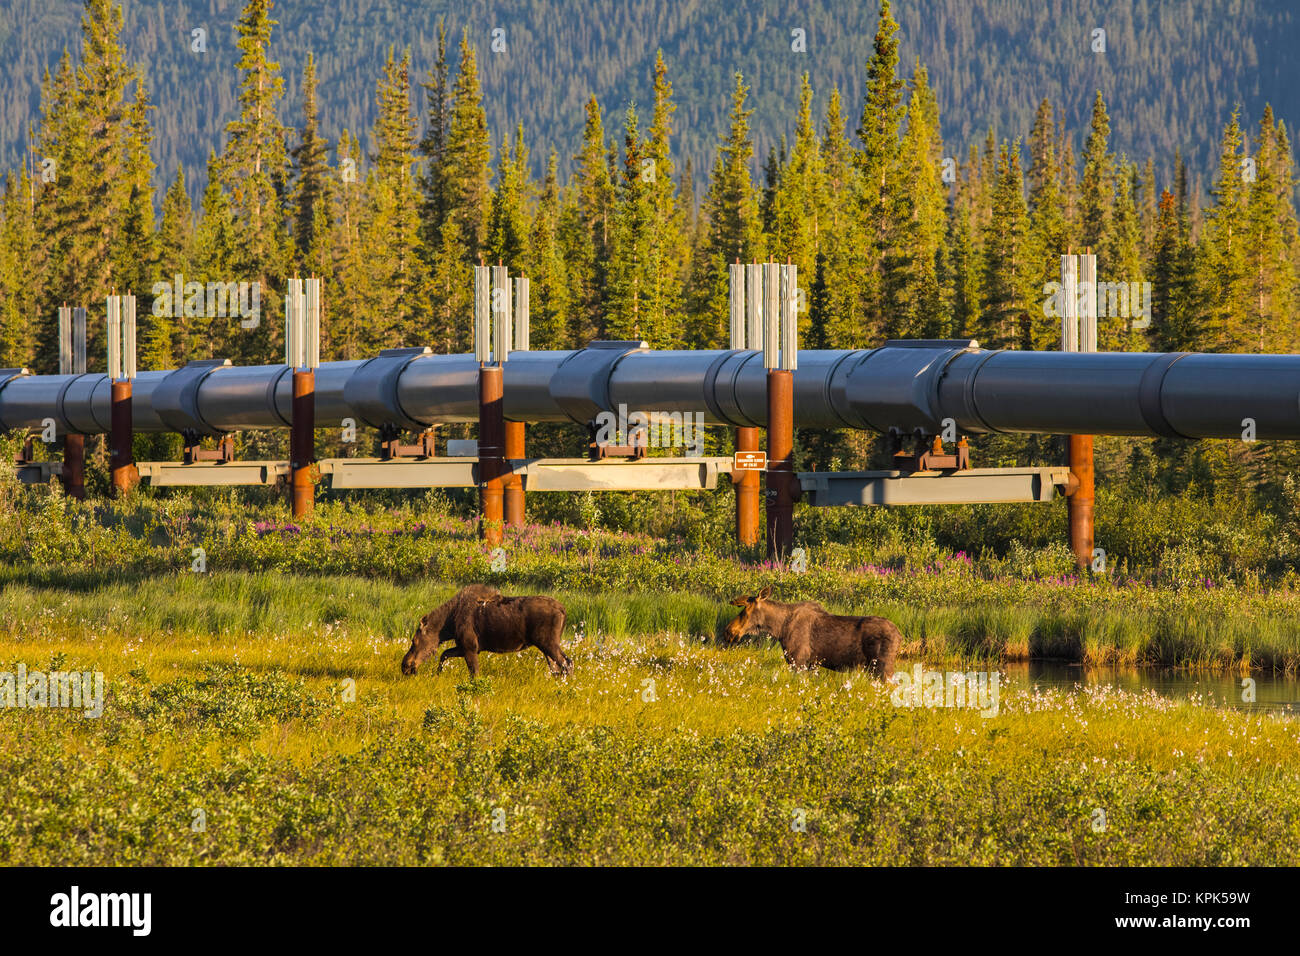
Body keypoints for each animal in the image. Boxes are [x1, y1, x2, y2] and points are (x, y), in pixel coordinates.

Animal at [397, 582, 572, 681]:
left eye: (414, 641)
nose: (405, 666)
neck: (448, 626)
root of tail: (564, 610)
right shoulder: (465, 647)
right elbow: (444, 655)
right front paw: (437, 675)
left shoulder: (470, 647)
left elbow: (474, 674)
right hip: (546, 645)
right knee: (556, 667)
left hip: (547, 642)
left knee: (566, 663)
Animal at [722, 582, 904, 681]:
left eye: (745, 610)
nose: (728, 631)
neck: (780, 629)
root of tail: (900, 636)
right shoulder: (812, 664)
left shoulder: (798, 661)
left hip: (883, 667)